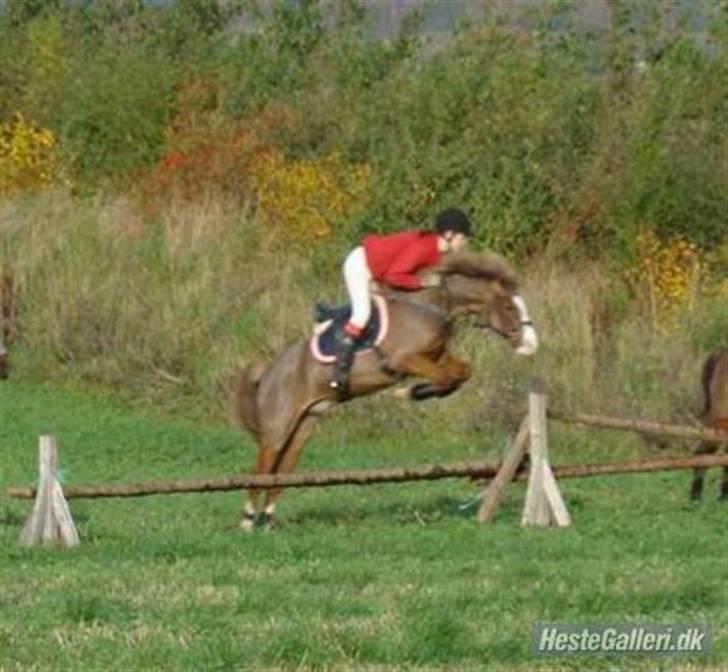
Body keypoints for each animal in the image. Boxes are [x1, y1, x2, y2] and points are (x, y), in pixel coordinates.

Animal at [235, 251, 539, 529]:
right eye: (511, 308)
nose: (531, 344)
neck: (434, 306)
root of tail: (269, 372)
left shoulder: (435, 358)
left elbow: (461, 373)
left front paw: (415, 393)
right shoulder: (403, 360)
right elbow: (447, 377)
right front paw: (407, 393)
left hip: (304, 425)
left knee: (282, 468)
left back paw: (268, 518)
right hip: (278, 426)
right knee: (263, 467)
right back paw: (248, 519)